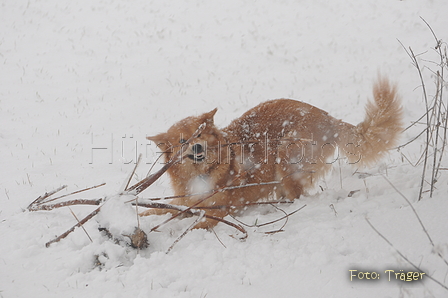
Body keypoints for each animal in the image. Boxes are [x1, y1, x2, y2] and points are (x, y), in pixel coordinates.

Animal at [141, 77, 402, 228]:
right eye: (182, 140)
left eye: (200, 134)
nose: (196, 147)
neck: (201, 171)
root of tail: (327, 118)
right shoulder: (182, 203)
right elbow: (154, 210)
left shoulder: (218, 210)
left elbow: (199, 224)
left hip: (286, 158)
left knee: (297, 196)